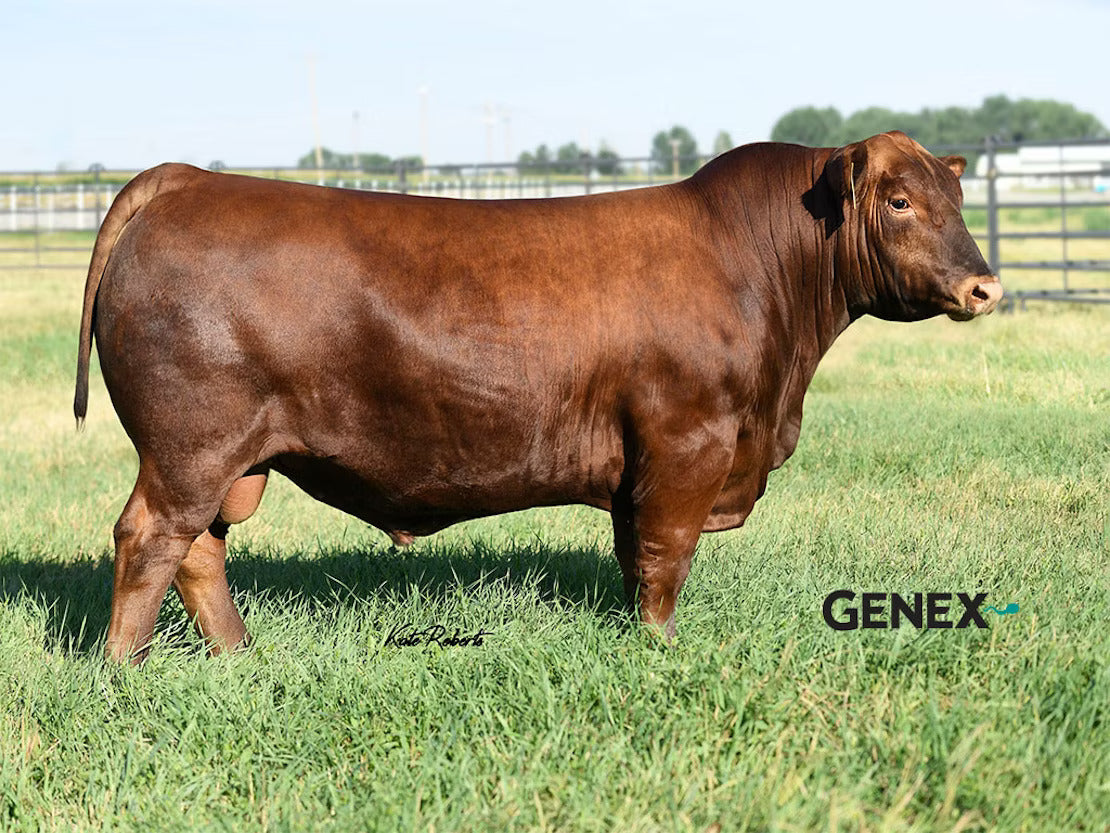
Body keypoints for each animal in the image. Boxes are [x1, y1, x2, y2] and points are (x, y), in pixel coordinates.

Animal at [74, 131, 1002, 662]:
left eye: (956, 196)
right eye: (899, 199)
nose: (984, 286)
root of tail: (189, 178)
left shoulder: (643, 463)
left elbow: (634, 555)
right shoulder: (688, 441)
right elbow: (667, 556)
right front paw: (659, 649)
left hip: (230, 459)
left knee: (200, 550)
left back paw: (239, 656)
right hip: (193, 444)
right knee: (150, 538)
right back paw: (124, 672)